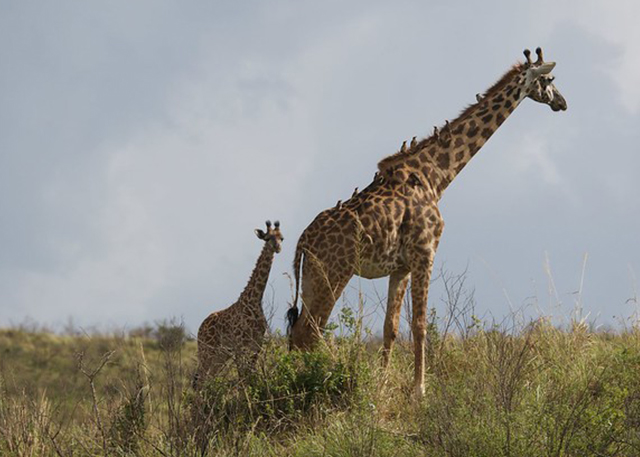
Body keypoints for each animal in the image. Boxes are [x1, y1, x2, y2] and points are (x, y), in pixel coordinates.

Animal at [194, 220, 283, 388]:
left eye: (282, 238)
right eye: (267, 238)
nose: (278, 248)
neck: (255, 300)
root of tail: (200, 328)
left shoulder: (256, 344)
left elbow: (250, 375)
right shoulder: (239, 345)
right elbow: (243, 377)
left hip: (220, 355)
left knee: (208, 379)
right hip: (207, 350)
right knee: (200, 381)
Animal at [287, 48, 567, 396]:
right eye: (550, 79)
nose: (563, 103)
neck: (436, 175)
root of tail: (302, 241)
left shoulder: (401, 267)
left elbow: (391, 327)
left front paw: (382, 385)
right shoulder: (425, 252)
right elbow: (419, 325)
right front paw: (419, 390)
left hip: (312, 277)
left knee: (298, 332)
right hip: (334, 273)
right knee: (309, 332)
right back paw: (305, 383)